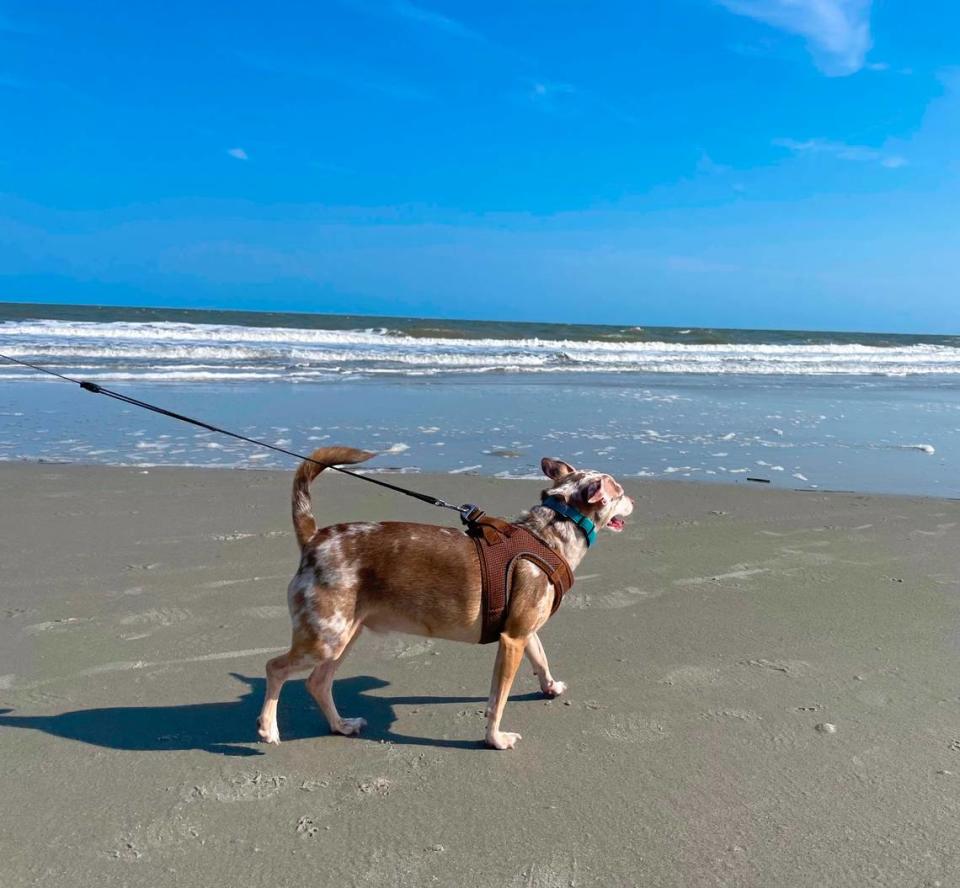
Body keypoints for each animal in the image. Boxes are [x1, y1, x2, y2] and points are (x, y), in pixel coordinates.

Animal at [255, 444, 632, 748]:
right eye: (620, 492)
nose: (635, 500)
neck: (551, 532)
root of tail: (315, 537)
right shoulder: (511, 640)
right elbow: (497, 701)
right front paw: (494, 739)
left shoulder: (523, 631)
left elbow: (541, 659)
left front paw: (550, 687)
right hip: (326, 639)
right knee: (275, 668)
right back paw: (268, 728)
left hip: (344, 636)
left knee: (318, 683)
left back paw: (340, 725)